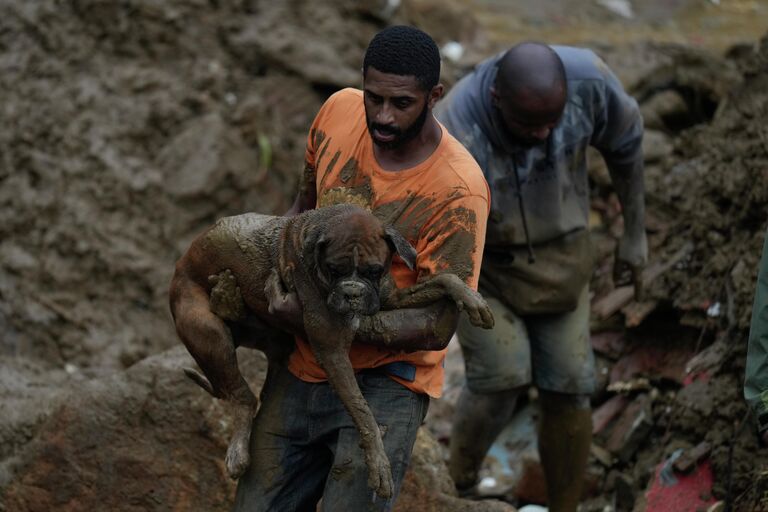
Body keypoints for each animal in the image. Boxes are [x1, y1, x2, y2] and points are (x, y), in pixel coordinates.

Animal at [169, 202, 496, 498]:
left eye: (374, 271)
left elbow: (443, 278)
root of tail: (182, 261)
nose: (353, 292)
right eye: (334, 270)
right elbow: (363, 410)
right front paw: (378, 463)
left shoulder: (392, 298)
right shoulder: (332, 348)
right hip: (207, 333)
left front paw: (472, 299)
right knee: (242, 397)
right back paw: (238, 452)